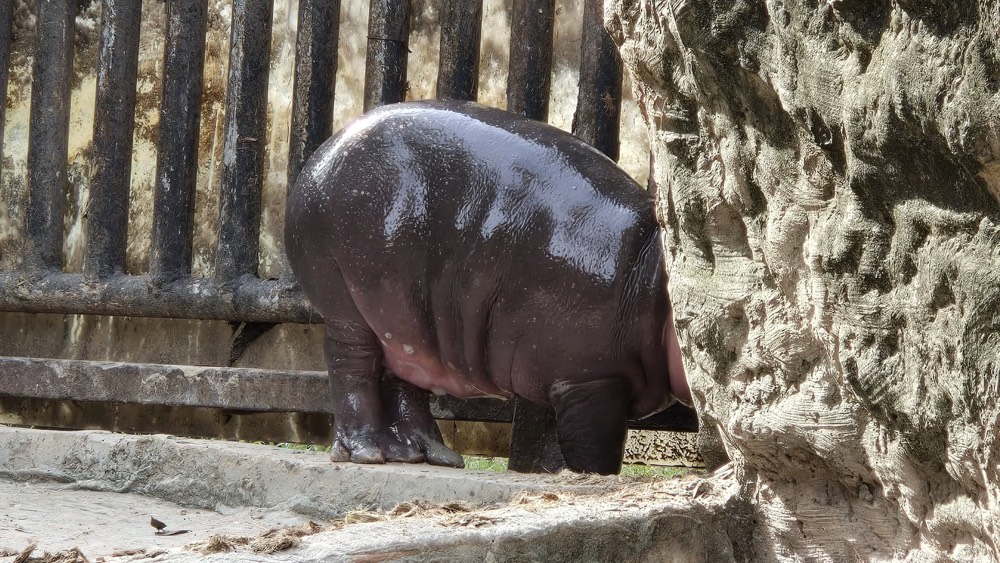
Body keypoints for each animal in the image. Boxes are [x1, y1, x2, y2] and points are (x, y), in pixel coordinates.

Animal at [285, 100, 689, 475]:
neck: (651, 269)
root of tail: (319, 158)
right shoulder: (588, 380)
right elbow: (592, 450)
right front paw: (582, 477)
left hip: (402, 318)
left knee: (403, 374)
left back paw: (430, 454)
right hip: (344, 303)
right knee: (352, 367)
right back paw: (367, 453)